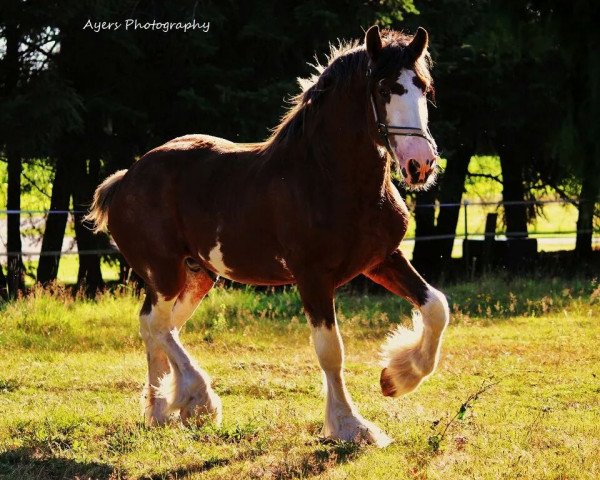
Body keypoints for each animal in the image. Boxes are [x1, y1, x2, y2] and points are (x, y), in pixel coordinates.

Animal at [86, 26, 448, 446]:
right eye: (385, 87)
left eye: (425, 87)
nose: (420, 164)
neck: (328, 179)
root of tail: (124, 180)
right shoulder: (312, 277)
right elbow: (330, 350)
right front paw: (351, 426)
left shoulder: (382, 259)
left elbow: (436, 306)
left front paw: (397, 377)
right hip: (163, 273)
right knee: (155, 325)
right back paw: (197, 400)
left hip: (197, 277)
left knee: (160, 328)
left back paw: (161, 410)